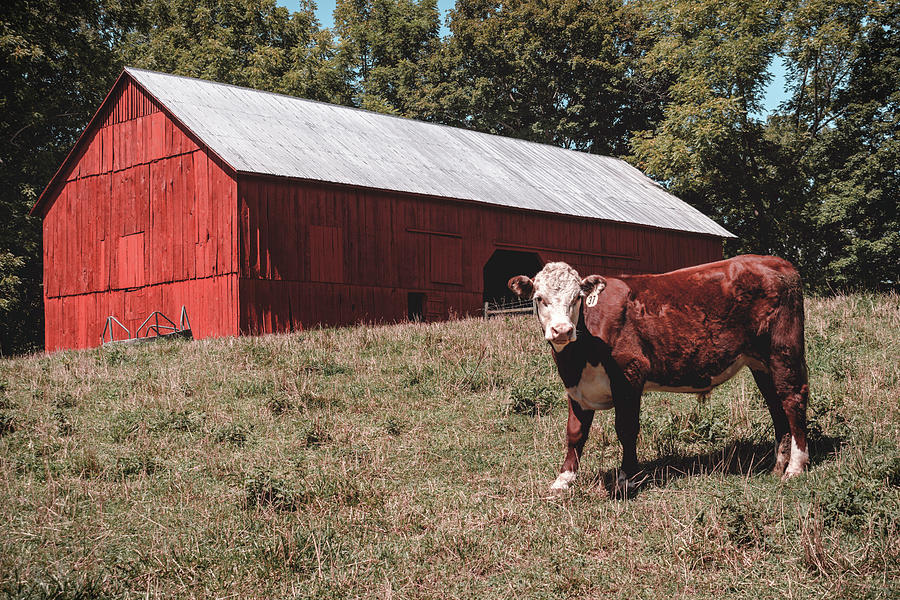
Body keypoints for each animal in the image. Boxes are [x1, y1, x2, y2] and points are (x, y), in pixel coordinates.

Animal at [510, 255, 812, 494]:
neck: (579, 356)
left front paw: (627, 478)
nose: (562, 330)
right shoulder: (576, 387)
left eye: (577, 299)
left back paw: (795, 467)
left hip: (783, 350)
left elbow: (626, 429)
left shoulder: (630, 373)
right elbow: (575, 433)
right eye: (539, 299)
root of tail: (777, 262)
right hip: (761, 363)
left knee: (792, 400)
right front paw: (563, 480)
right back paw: (777, 464)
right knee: (775, 405)